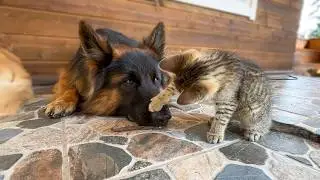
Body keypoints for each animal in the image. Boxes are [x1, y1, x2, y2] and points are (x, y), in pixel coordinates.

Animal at [44, 20, 172, 126]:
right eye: (129, 81)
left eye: (156, 79)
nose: (165, 117)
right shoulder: (68, 75)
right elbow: (70, 88)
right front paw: (62, 102)